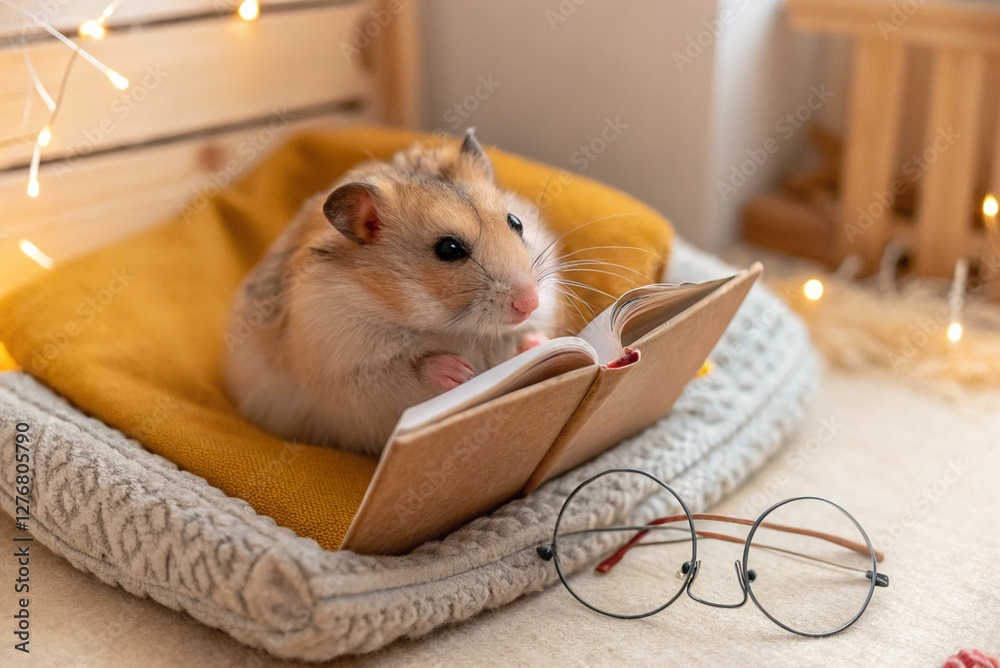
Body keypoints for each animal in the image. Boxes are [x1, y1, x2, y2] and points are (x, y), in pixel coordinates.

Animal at [224, 129, 562, 456]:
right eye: (449, 249)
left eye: (515, 222)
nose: (530, 303)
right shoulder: (354, 377)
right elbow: (411, 371)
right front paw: (461, 372)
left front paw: (538, 344)